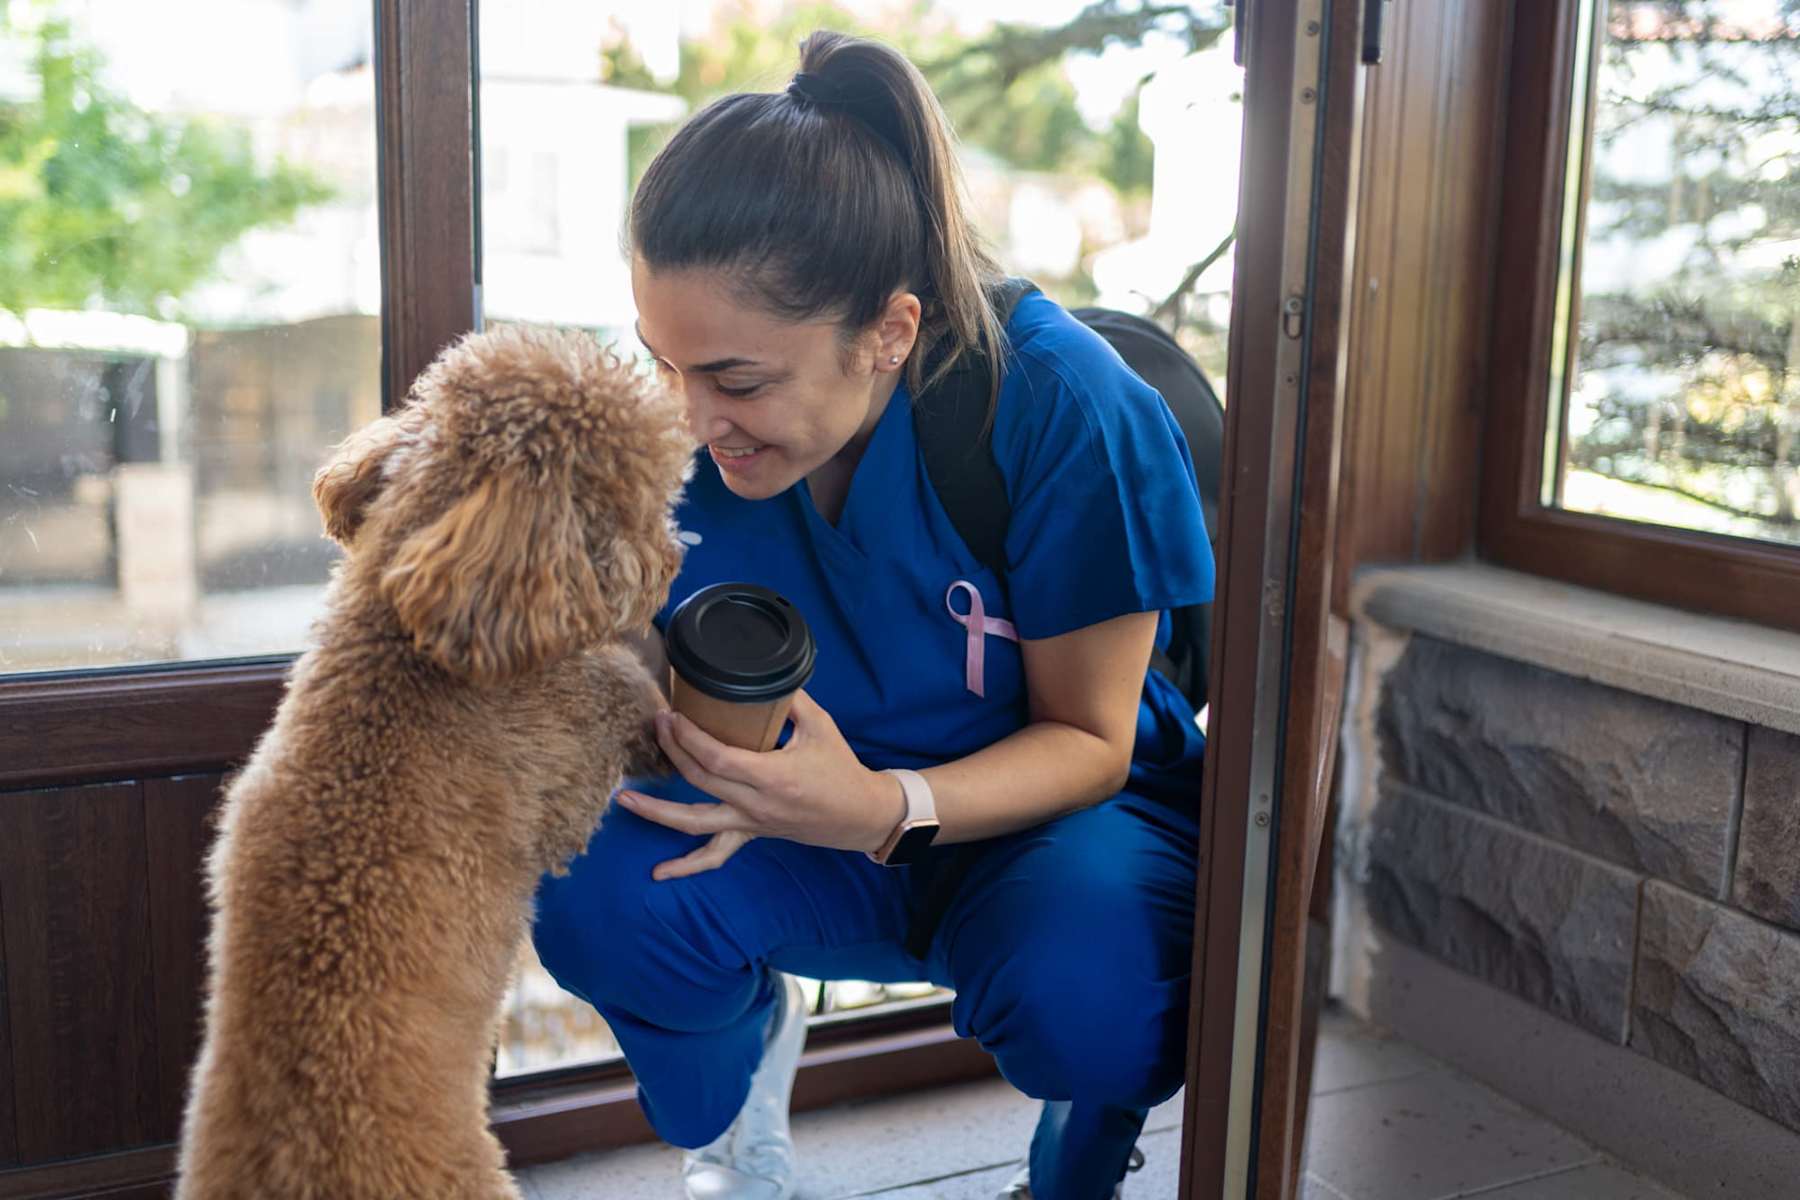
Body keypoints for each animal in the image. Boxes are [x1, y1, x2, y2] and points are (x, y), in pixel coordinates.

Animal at [175, 325, 691, 1200]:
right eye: (636, 498)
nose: (673, 556)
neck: (402, 646)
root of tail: (289, 1167)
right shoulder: (568, 765)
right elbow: (617, 695)